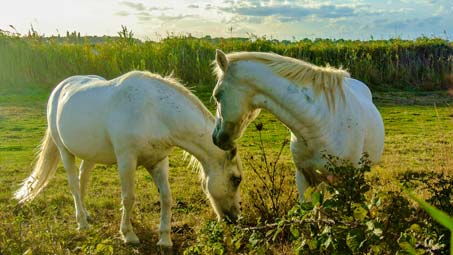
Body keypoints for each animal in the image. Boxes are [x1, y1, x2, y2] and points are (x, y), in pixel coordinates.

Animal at [14, 70, 242, 246]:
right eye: (236, 179)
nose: (234, 219)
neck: (154, 111)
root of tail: (61, 87)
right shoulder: (126, 160)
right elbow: (128, 197)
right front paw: (128, 234)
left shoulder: (159, 162)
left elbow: (166, 198)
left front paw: (164, 239)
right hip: (64, 151)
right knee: (73, 184)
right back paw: (82, 223)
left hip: (90, 155)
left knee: (82, 179)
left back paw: (86, 215)